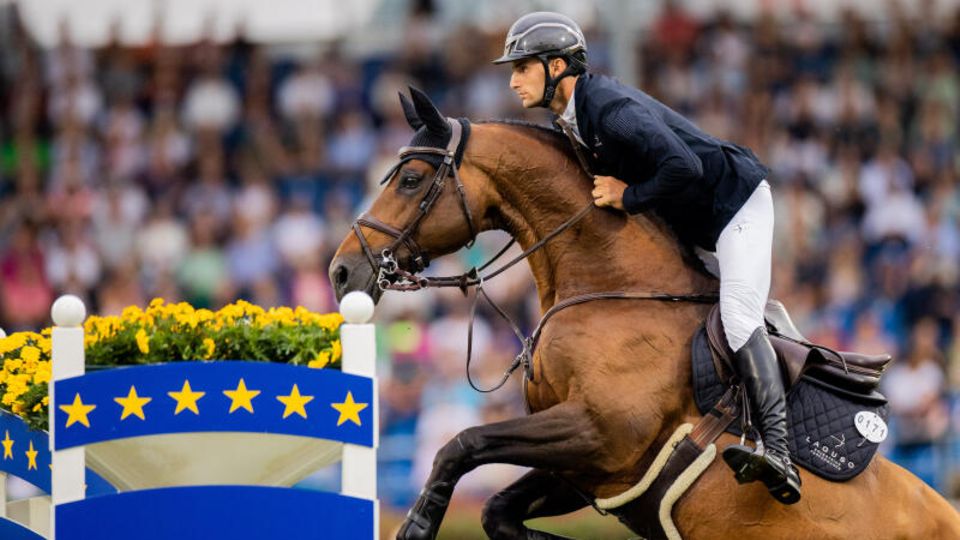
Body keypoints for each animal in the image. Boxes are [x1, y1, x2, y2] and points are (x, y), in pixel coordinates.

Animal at [329, 89, 960, 539]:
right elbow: (497, 512)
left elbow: (461, 444)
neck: (613, 290)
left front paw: (416, 526)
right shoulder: (597, 472)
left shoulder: (599, 434)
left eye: (410, 180)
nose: (341, 273)